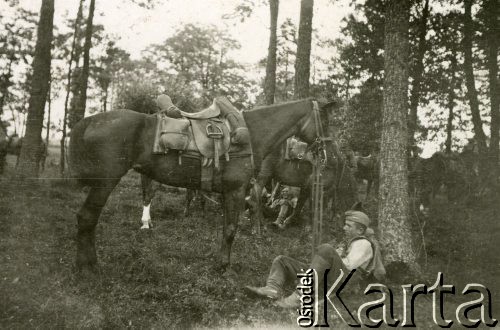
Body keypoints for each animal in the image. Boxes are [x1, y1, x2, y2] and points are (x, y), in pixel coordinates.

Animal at [70, 98, 328, 270]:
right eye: (324, 120)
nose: (326, 151)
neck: (251, 134)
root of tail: (89, 121)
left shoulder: (228, 193)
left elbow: (226, 226)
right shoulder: (236, 191)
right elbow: (231, 229)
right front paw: (223, 265)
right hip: (105, 182)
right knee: (87, 217)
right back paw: (88, 266)